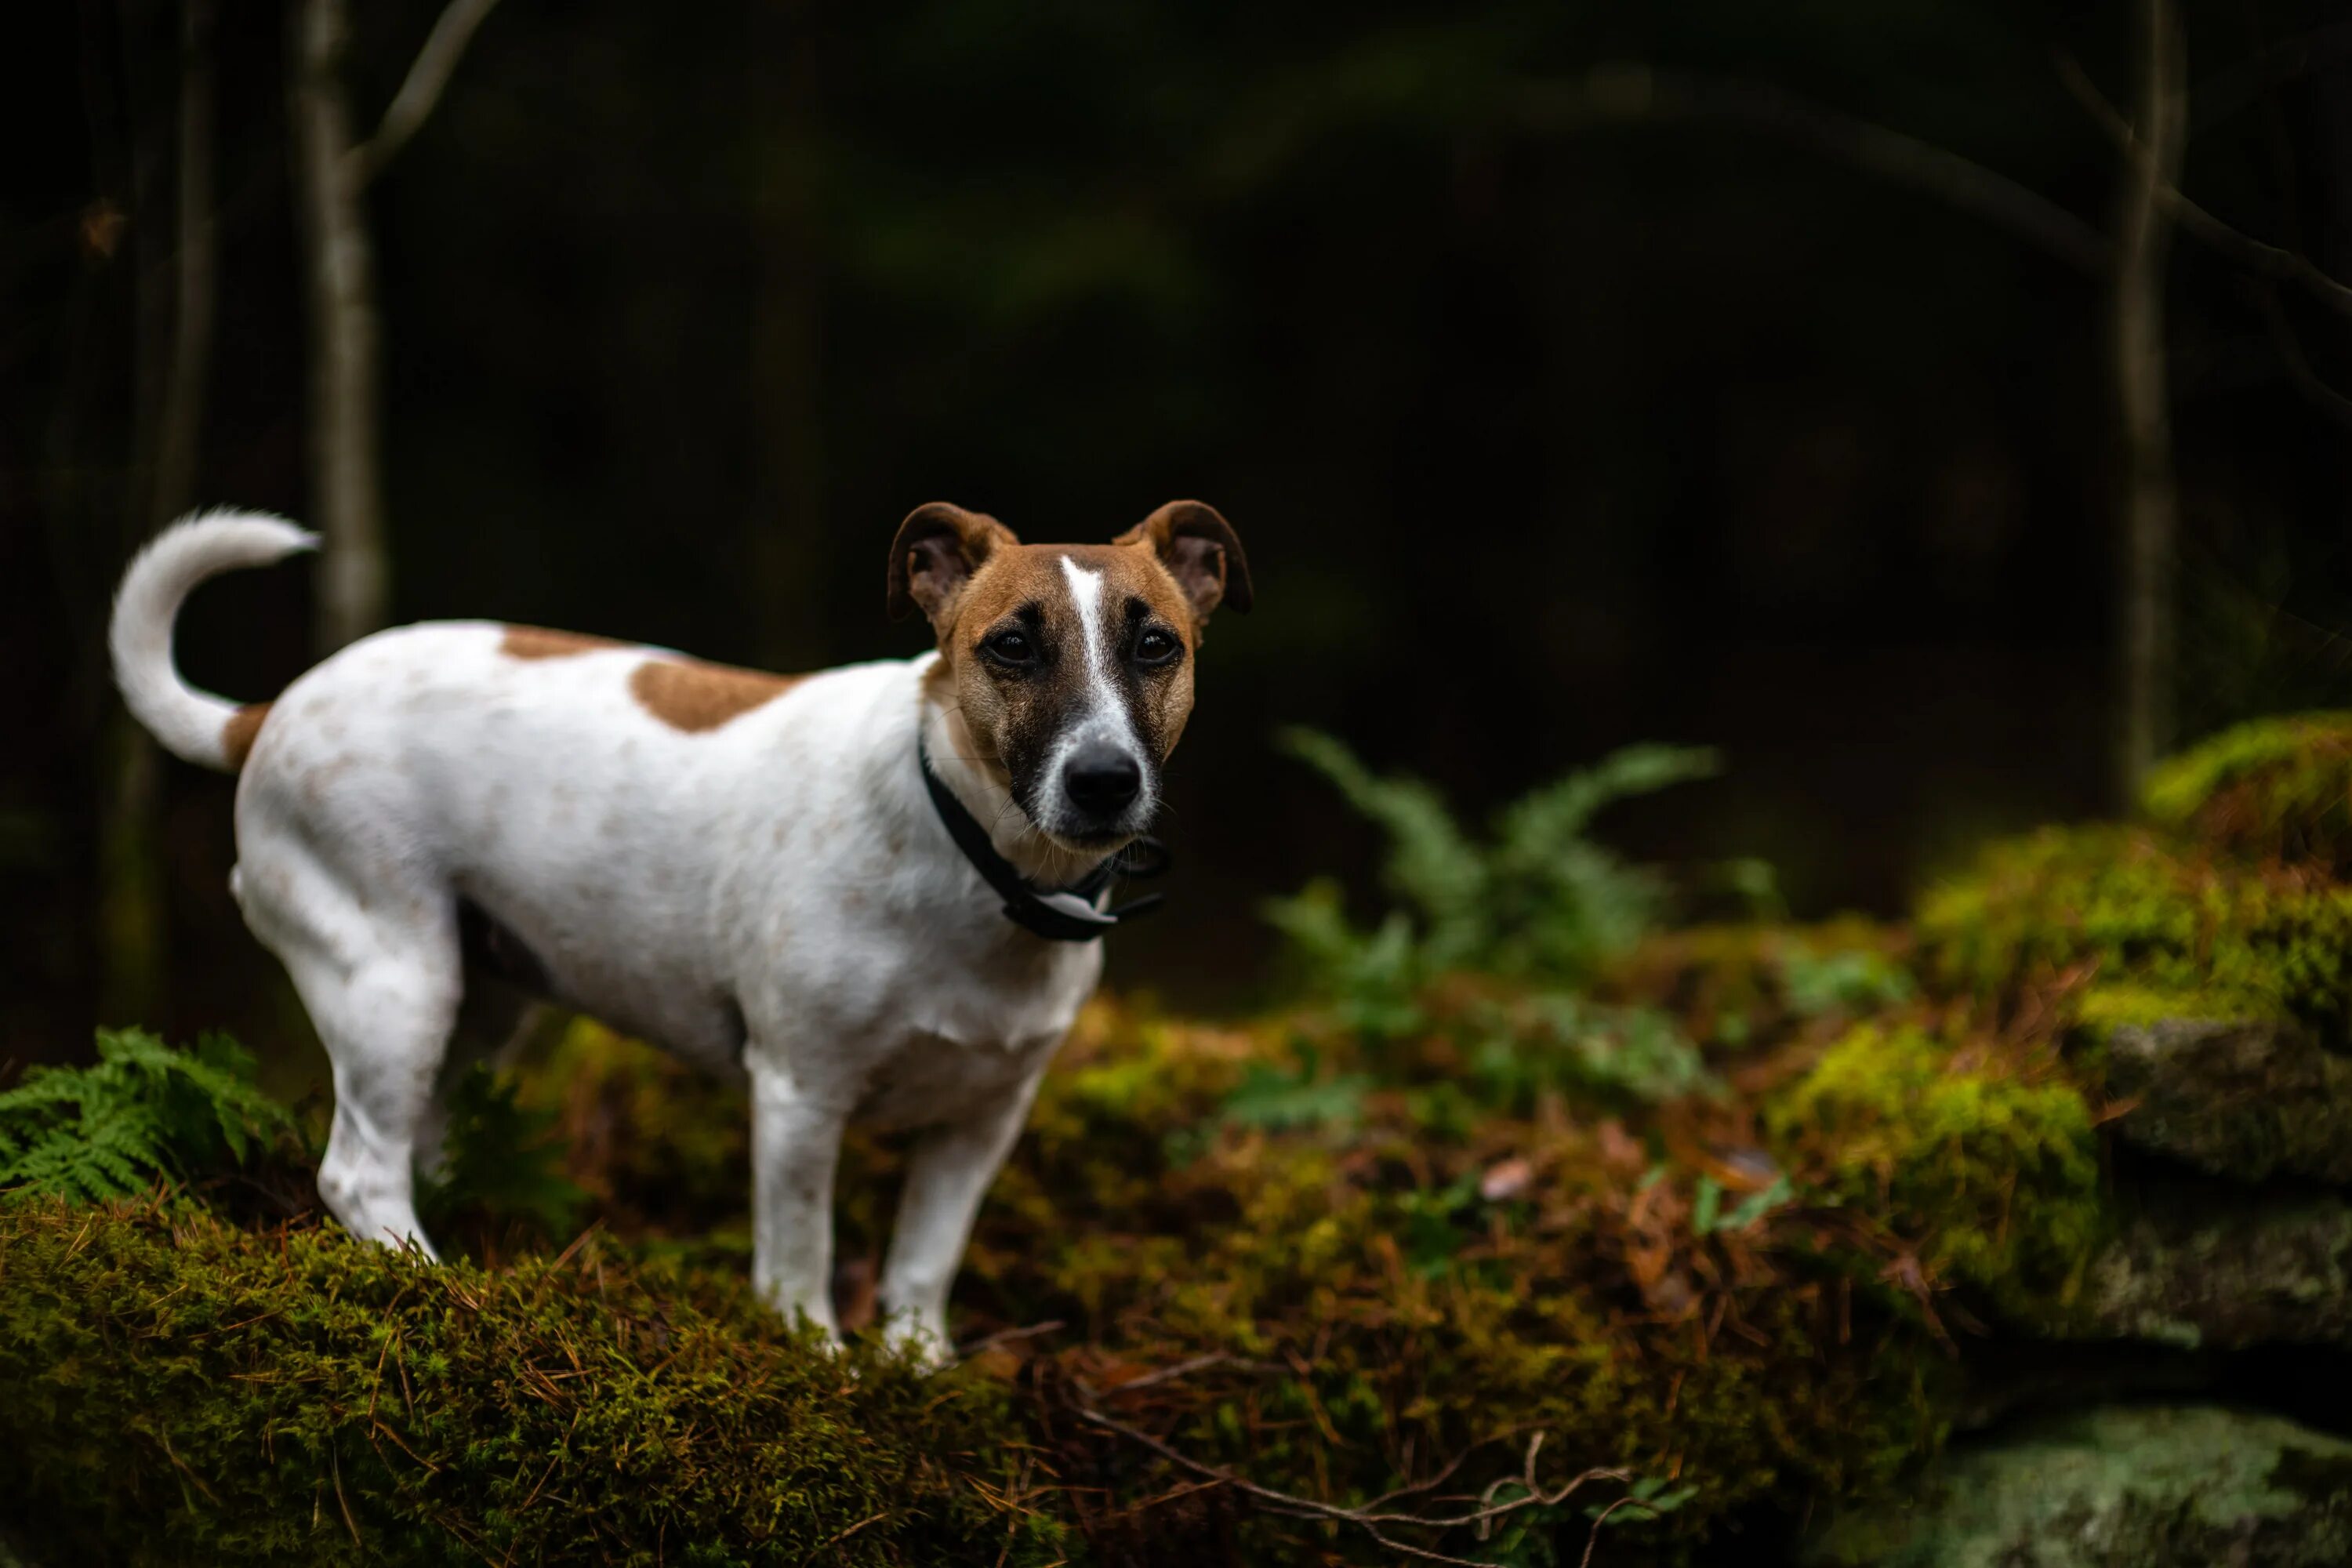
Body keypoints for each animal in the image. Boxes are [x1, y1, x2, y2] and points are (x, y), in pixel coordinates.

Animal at [111, 503, 1251, 1363]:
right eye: (1011, 645)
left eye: (1157, 645)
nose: (1104, 781)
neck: (974, 858)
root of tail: (271, 708)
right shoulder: (799, 1094)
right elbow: (797, 1251)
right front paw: (821, 1359)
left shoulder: (984, 1118)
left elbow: (926, 1256)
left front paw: (916, 1362)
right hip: (391, 976)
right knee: (359, 1167)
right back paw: (432, 1286)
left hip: (480, 1002)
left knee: (412, 1144)